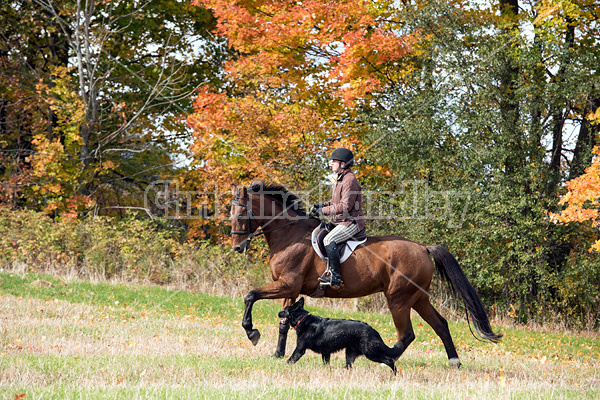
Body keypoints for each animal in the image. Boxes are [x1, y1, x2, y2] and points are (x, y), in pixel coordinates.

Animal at [231, 180, 502, 368]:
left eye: (241, 214)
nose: (237, 247)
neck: (290, 235)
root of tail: (423, 247)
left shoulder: (287, 284)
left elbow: (250, 295)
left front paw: (252, 333)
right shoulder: (290, 288)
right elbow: (284, 322)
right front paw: (277, 354)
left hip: (399, 299)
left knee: (407, 334)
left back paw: (386, 357)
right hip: (418, 298)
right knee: (440, 325)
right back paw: (454, 362)